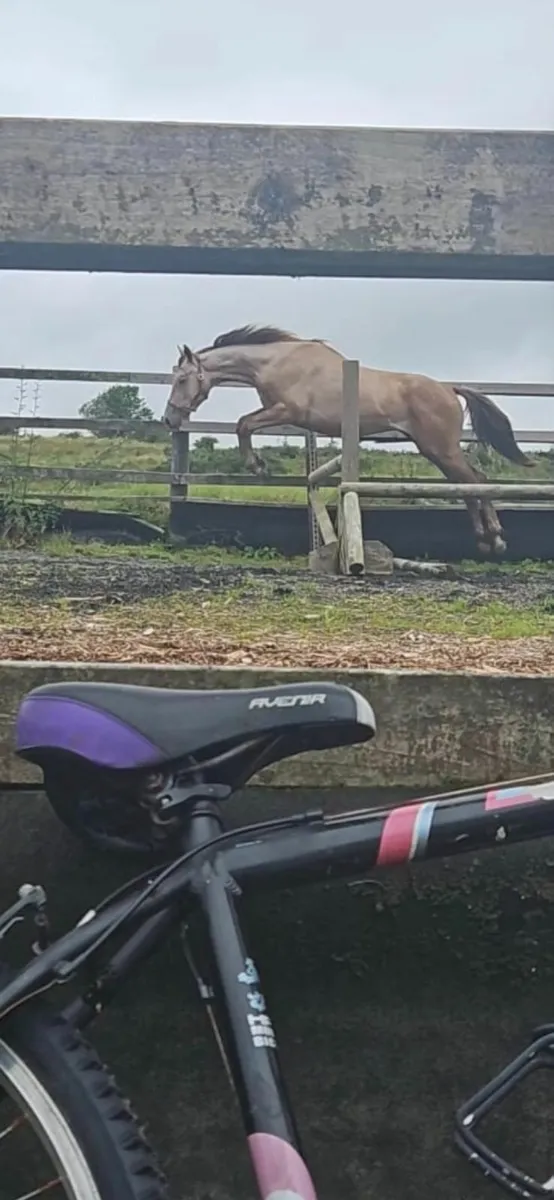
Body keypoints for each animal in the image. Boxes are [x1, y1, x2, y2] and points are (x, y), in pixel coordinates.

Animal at [163, 325, 532, 556]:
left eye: (181, 379)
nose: (169, 419)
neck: (276, 361)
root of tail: (448, 388)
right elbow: (246, 425)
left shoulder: (286, 411)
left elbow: (243, 424)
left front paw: (258, 467)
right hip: (436, 451)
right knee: (467, 485)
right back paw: (483, 540)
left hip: (441, 448)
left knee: (476, 481)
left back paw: (496, 538)